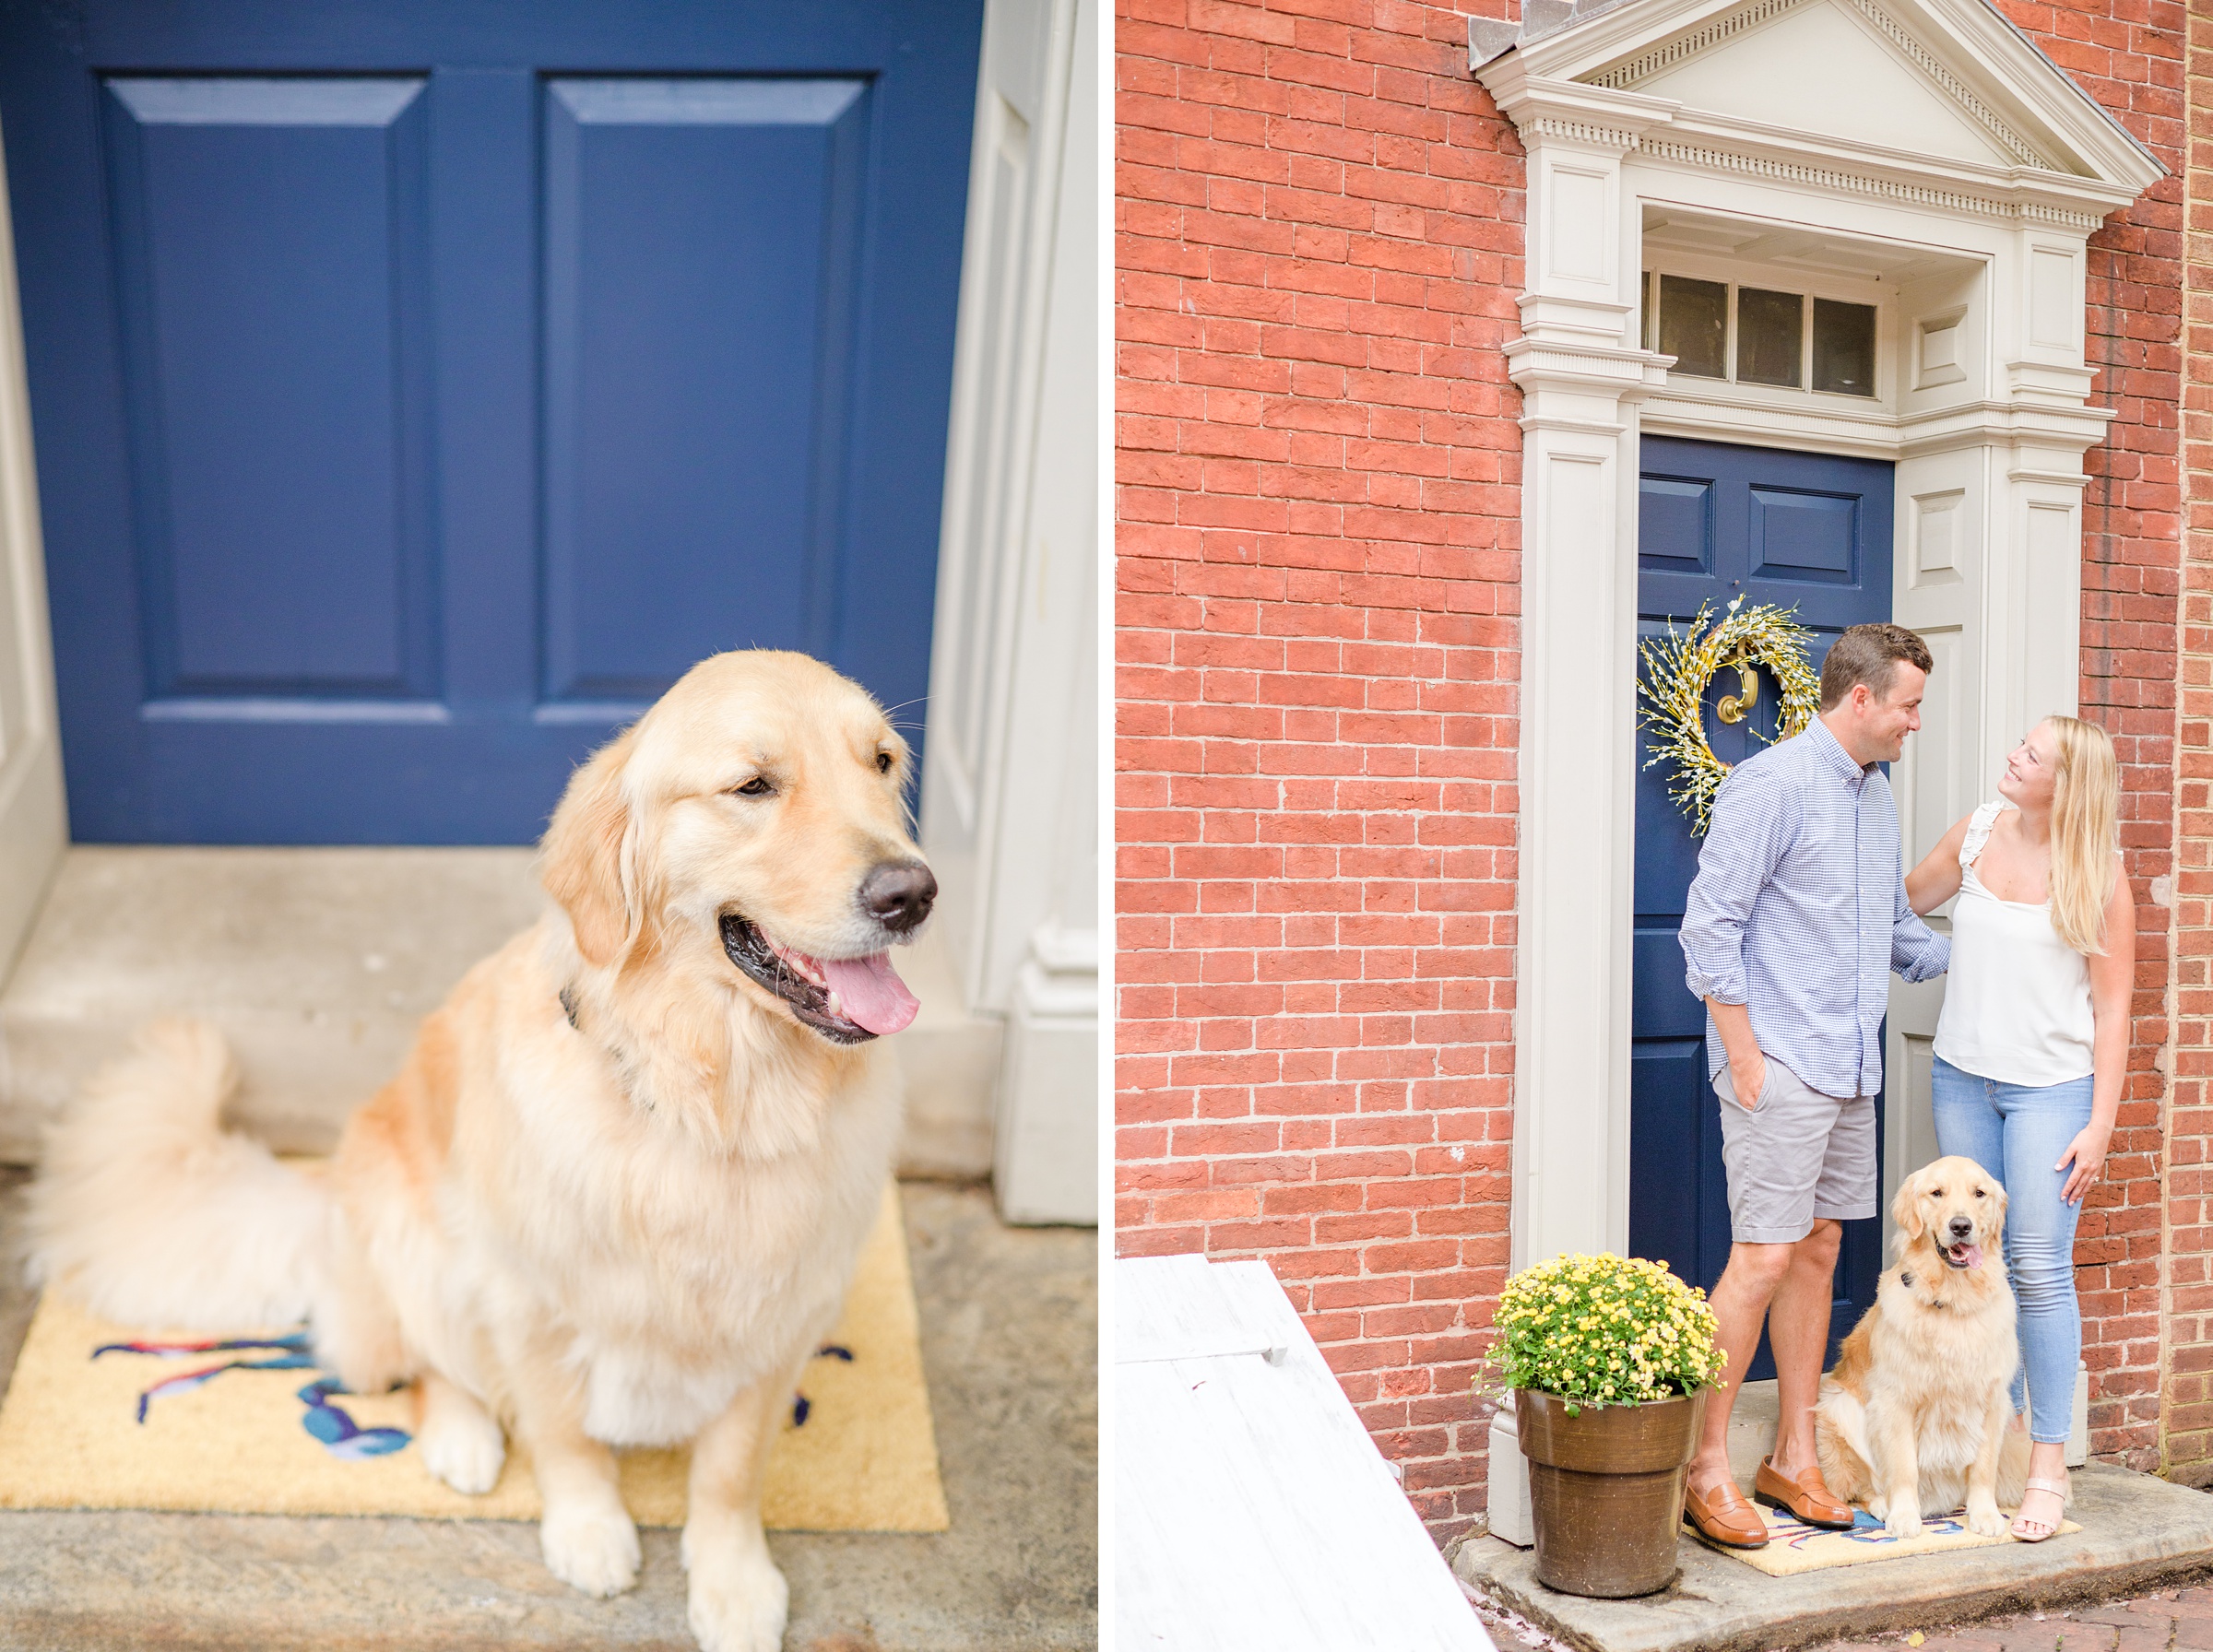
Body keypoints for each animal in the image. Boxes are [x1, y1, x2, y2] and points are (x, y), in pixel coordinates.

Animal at [23, 650, 933, 1652]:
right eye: (753, 785)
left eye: (882, 763)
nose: (913, 893)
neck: (714, 1097)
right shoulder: (528, 1296)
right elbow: (564, 1433)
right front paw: (589, 1529)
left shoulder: (783, 1319)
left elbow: (731, 1470)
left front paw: (733, 1582)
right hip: (412, 1255)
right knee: (426, 1366)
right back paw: (460, 1437)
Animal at [1805, 1159, 2027, 1548]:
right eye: (1936, 1193)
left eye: (1979, 1193)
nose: (1961, 1226)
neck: (1953, 1302)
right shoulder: (1897, 1400)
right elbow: (1904, 1465)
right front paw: (1905, 1517)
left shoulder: (1992, 1398)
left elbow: (1984, 1466)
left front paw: (1985, 1515)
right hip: (1840, 1406)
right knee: (1859, 1487)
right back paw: (1883, 1505)